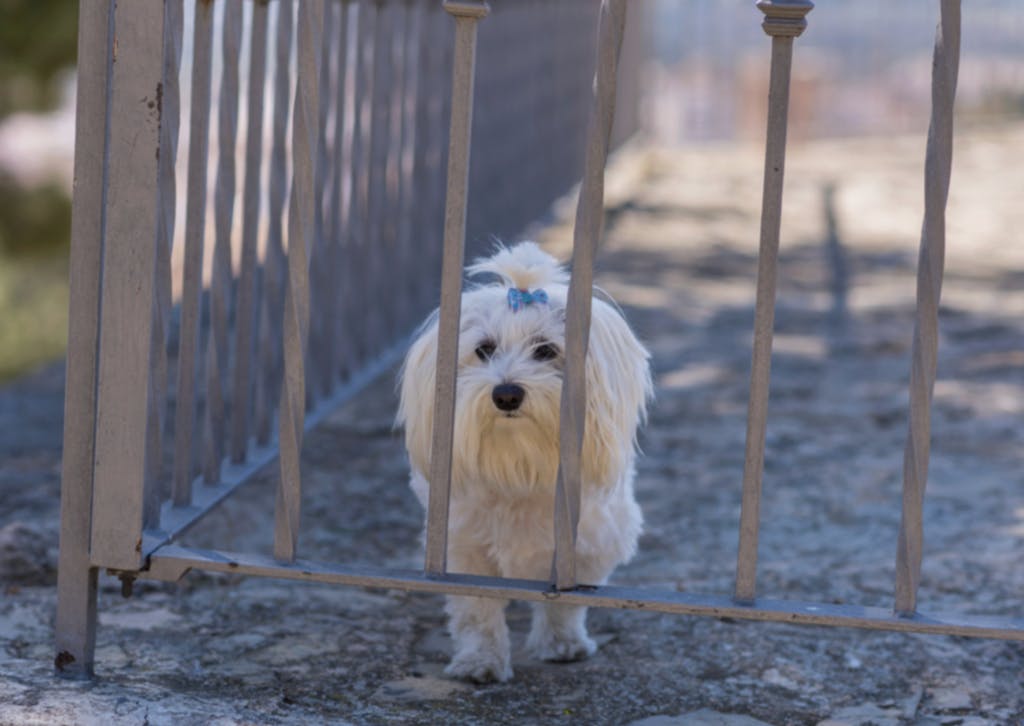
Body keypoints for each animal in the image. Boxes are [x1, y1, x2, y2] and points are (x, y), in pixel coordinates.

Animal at [395, 241, 651, 679]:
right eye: (484, 349)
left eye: (546, 349)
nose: (507, 394)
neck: (520, 462)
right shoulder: (464, 549)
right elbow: (476, 613)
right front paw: (480, 661)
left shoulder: (585, 547)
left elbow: (565, 604)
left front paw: (562, 643)